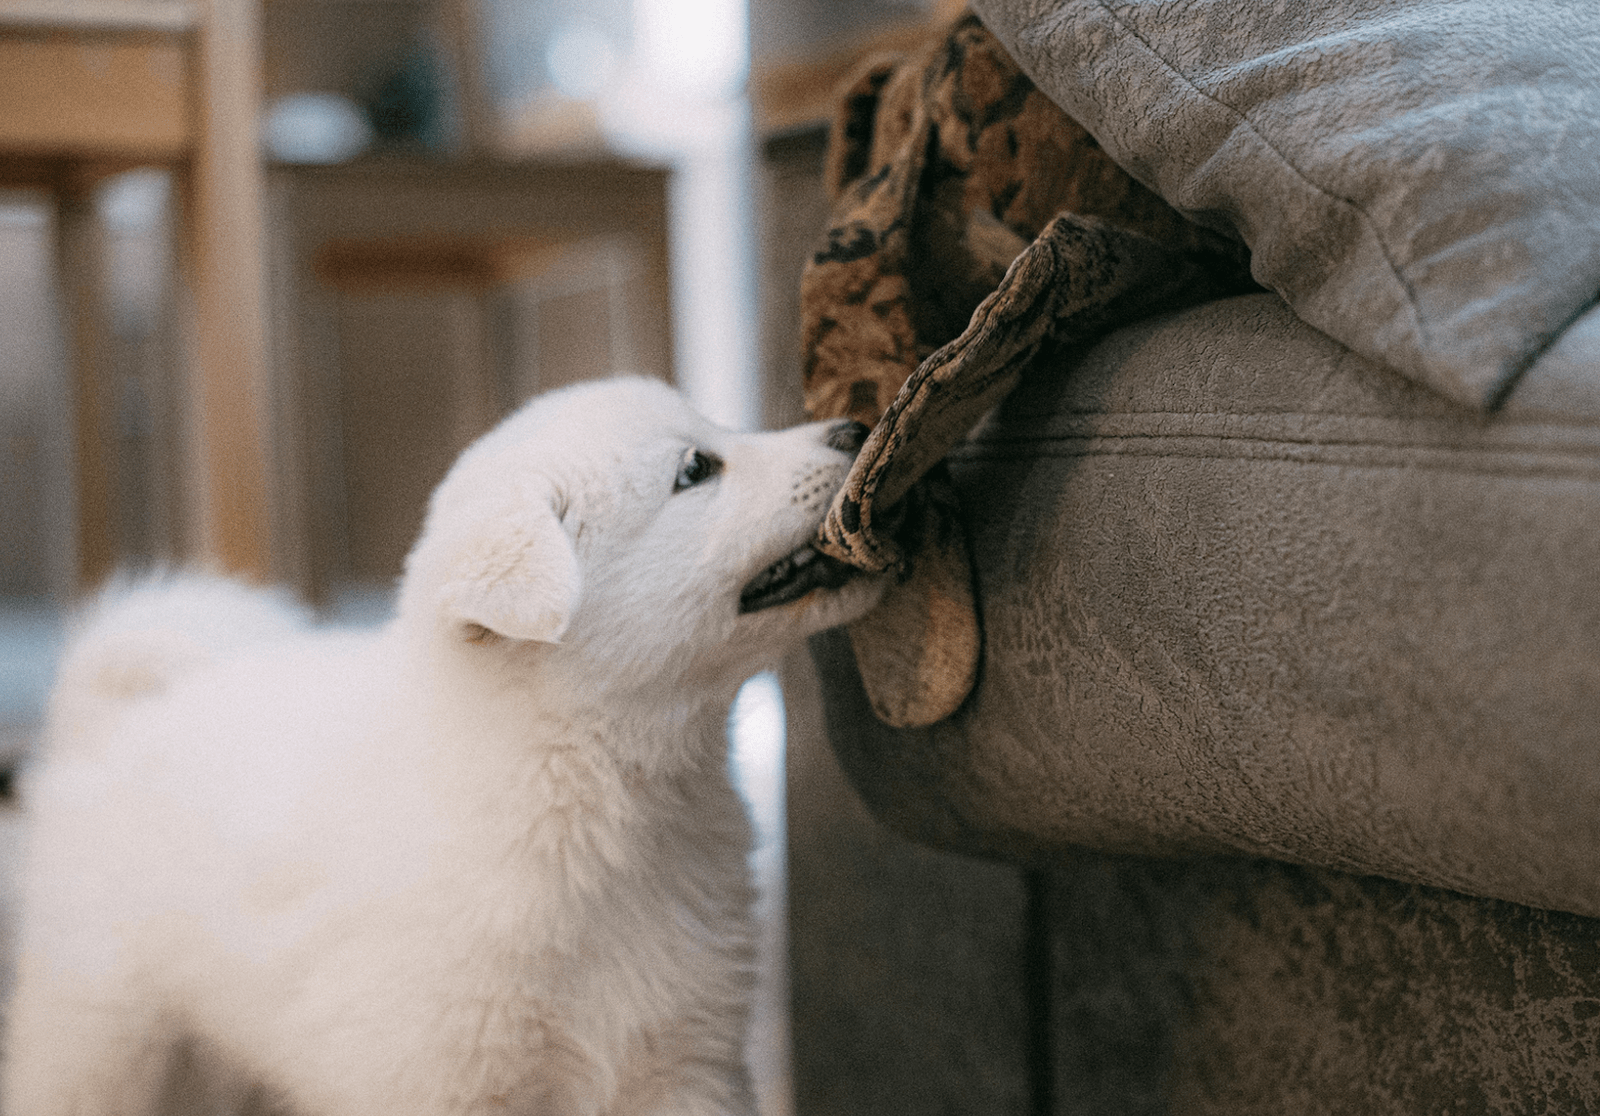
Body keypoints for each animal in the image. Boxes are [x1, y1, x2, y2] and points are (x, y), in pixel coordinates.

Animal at [0, 378, 883, 1106]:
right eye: (696, 468)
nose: (855, 427)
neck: (584, 787)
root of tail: (111, 719)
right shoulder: (441, 1074)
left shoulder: (682, 1061)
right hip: (104, 1037)